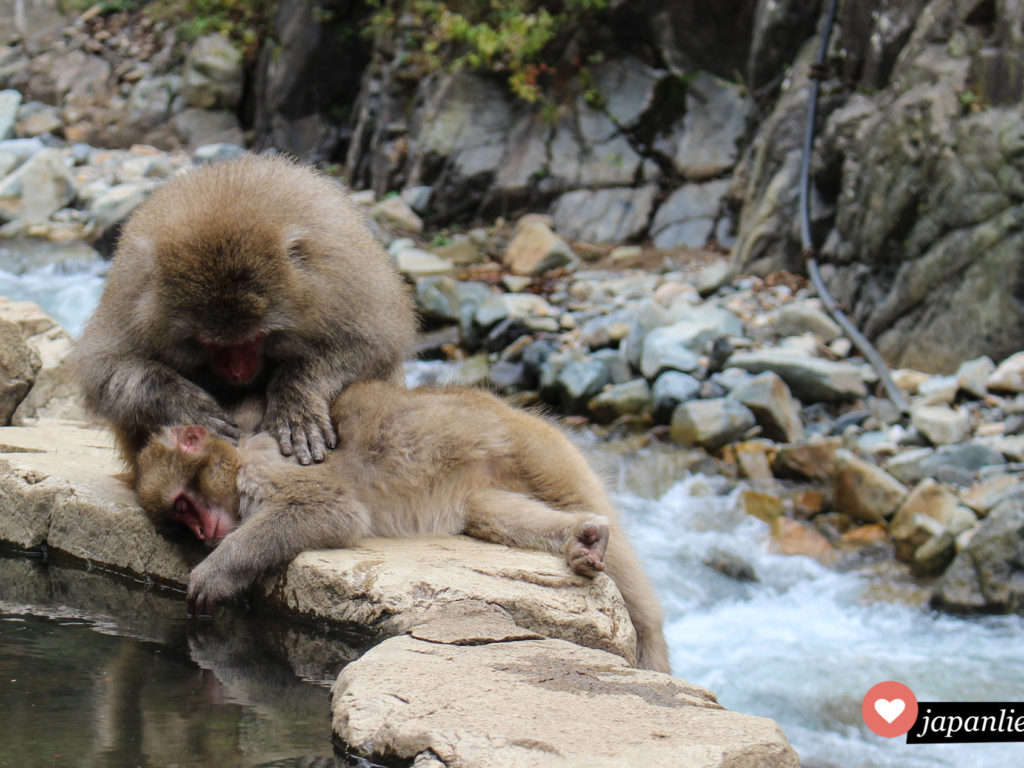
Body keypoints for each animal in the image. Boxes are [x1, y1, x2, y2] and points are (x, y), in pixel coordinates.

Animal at [71, 154, 415, 468]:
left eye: (257, 338)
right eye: (207, 342)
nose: (238, 371)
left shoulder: (341, 279)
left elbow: (370, 345)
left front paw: (295, 398)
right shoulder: (132, 292)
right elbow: (105, 369)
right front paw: (184, 404)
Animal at [134, 382, 671, 671]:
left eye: (184, 505)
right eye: (178, 521)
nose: (203, 535)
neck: (239, 452)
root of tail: (508, 408)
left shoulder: (269, 468)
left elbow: (328, 509)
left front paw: (215, 572)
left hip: (538, 452)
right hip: (494, 479)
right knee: (488, 513)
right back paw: (581, 536)